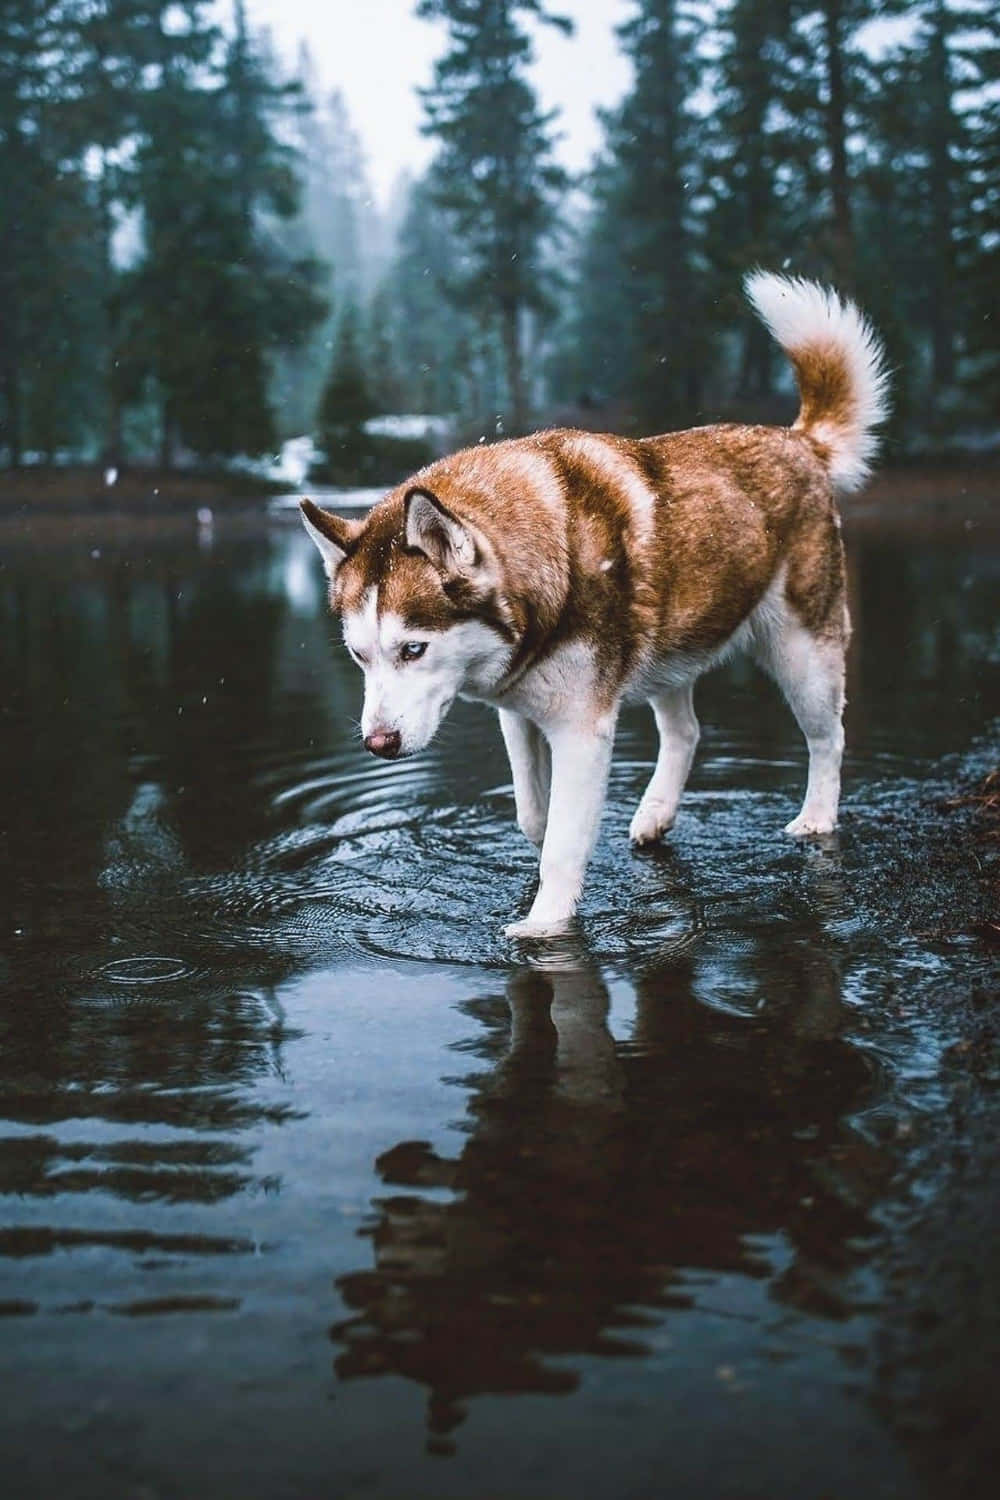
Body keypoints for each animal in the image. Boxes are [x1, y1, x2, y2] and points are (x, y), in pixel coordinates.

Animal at [301, 274, 887, 930]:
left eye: (413, 649)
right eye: (359, 656)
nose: (377, 744)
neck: (548, 565)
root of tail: (799, 440)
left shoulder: (583, 728)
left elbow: (561, 840)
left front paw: (543, 925)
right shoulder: (517, 709)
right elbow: (535, 813)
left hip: (802, 652)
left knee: (828, 737)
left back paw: (816, 818)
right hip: (671, 652)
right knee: (686, 731)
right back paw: (656, 813)